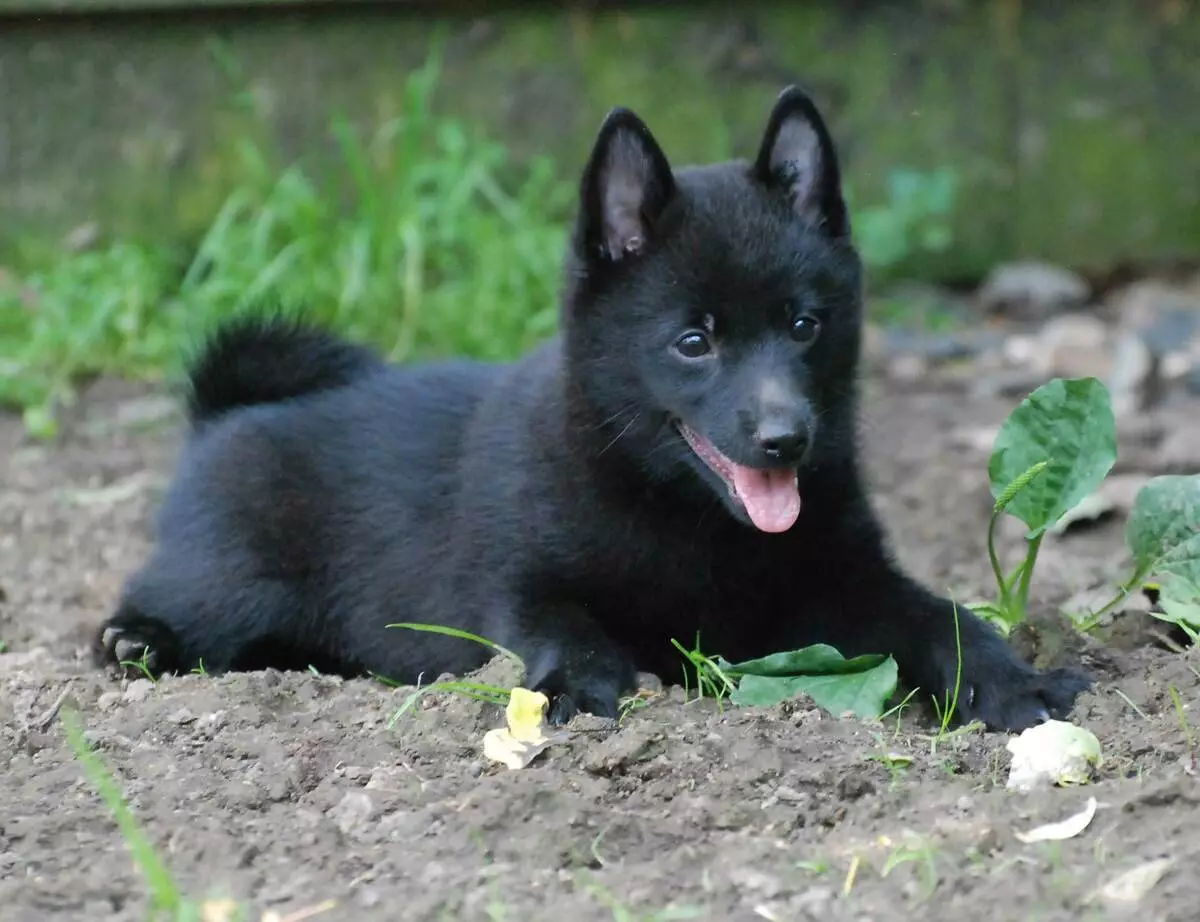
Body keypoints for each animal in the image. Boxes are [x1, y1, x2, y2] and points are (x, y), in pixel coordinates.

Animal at [93, 88, 1089, 734]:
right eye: (693, 341)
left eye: (805, 324)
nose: (785, 439)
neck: (684, 516)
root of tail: (225, 413)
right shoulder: (515, 581)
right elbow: (564, 626)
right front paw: (585, 687)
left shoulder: (847, 582)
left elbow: (940, 620)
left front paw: (1011, 683)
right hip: (232, 583)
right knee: (166, 610)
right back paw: (136, 642)